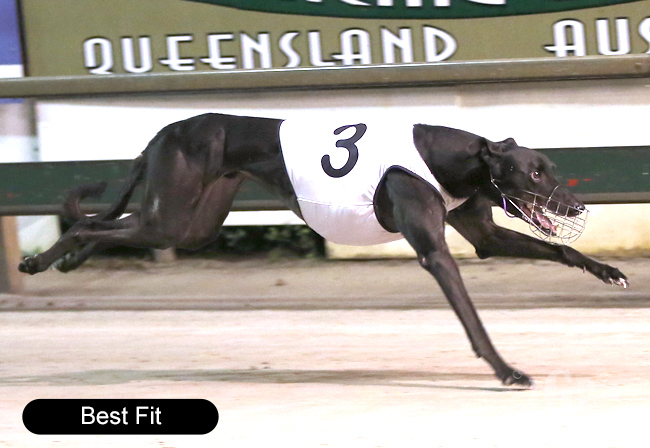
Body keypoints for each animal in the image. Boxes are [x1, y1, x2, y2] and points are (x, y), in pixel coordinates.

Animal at [19, 113, 629, 386]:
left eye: (552, 168)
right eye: (534, 173)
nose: (577, 207)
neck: (453, 155)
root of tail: (162, 132)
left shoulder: (485, 236)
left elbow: (561, 253)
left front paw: (607, 271)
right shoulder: (435, 252)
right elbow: (472, 318)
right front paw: (506, 369)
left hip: (190, 223)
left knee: (104, 224)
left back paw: (65, 260)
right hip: (171, 215)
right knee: (88, 226)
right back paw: (41, 259)